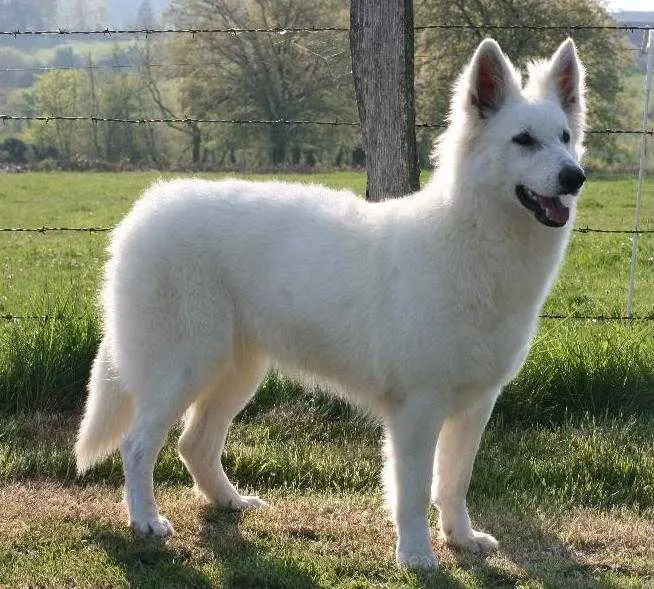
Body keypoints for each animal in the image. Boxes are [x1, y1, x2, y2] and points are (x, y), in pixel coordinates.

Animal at [75, 38, 586, 568]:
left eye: (565, 137)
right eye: (523, 140)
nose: (576, 177)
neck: (474, 240)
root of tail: (144, 212)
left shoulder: (474, 405)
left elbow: (453, 482)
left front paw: (461, 539)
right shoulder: (418, 408)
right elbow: (413, 490)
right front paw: (417, 555)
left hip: (236, 371)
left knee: (194, 444)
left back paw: (230, 502)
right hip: (183, 368)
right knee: (137, 445)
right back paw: (146, 521)